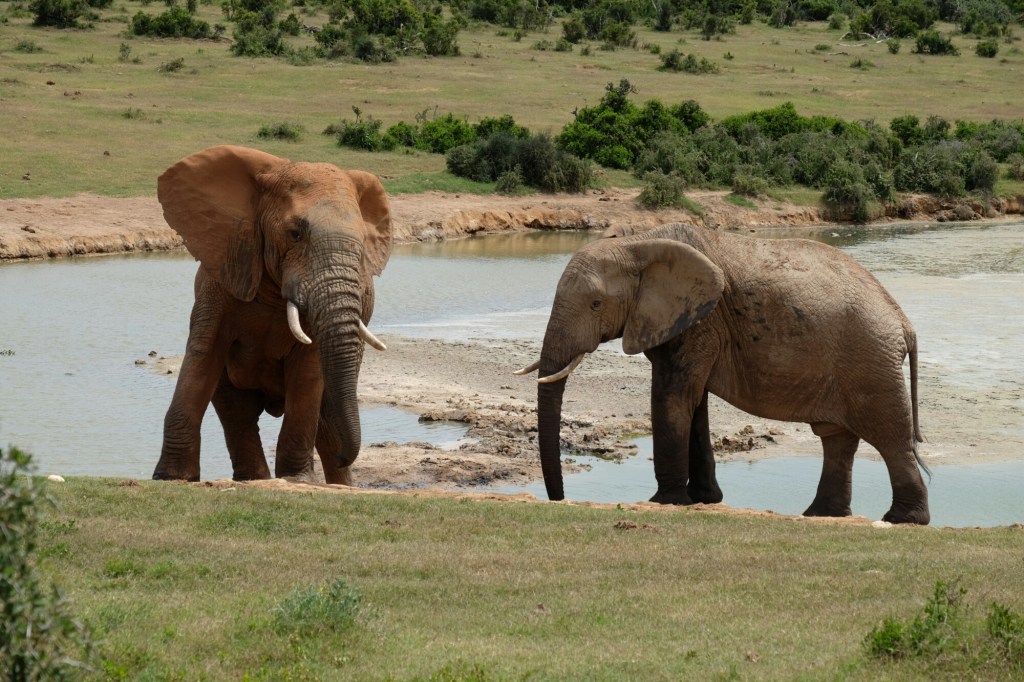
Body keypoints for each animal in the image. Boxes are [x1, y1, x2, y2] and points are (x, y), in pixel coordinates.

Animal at [152, 145, 392, 484]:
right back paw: (257, 480)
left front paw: (296, 480)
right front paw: (172, 478)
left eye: (362, 244)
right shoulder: (223, 272)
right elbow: (203, 354)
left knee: (325, 418)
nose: (347, 455)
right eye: (295, 234)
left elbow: (308, 371)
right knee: (237, 413)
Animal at [516, 222, 931, 525]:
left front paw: (666, 501)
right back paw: (822, 515)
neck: (639, 242)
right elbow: (693, 402)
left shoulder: (700, 321)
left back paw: (902, 520)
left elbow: (672, 397)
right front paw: (703, 499)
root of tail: (904, 322)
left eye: (596, 304)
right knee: (837, 438)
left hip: (871, 361)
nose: (559, 499)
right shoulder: (688, 323)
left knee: (890, 436)